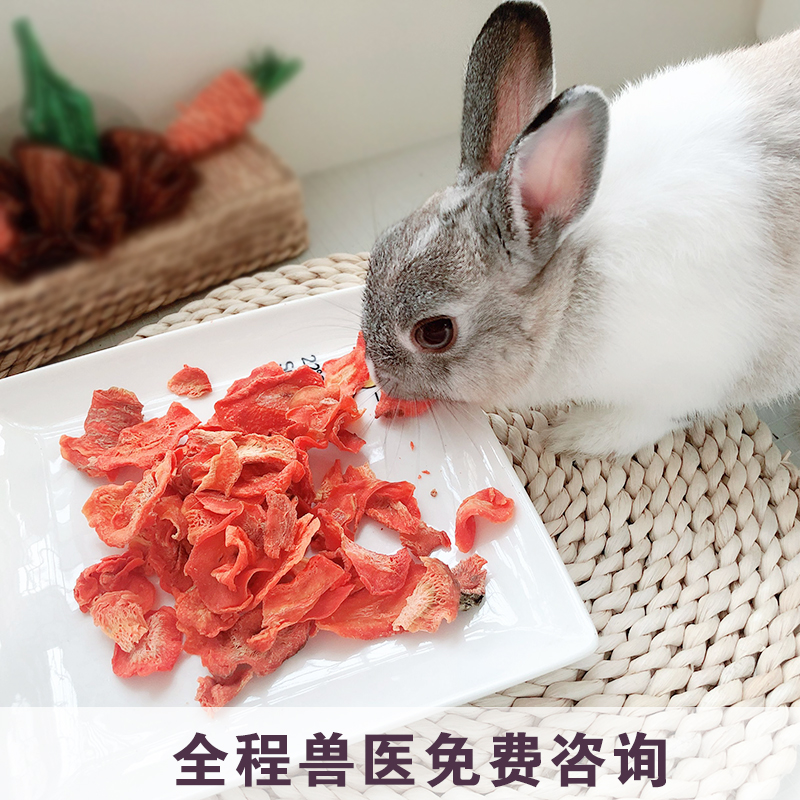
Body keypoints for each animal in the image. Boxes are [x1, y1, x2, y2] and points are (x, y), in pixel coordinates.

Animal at [360, 0, 800, 458]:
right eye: (382, 243)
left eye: (435, 332)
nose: (377, 372)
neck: (570, 281)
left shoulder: (692, 377)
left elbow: (654, 418)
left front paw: (577, 435)